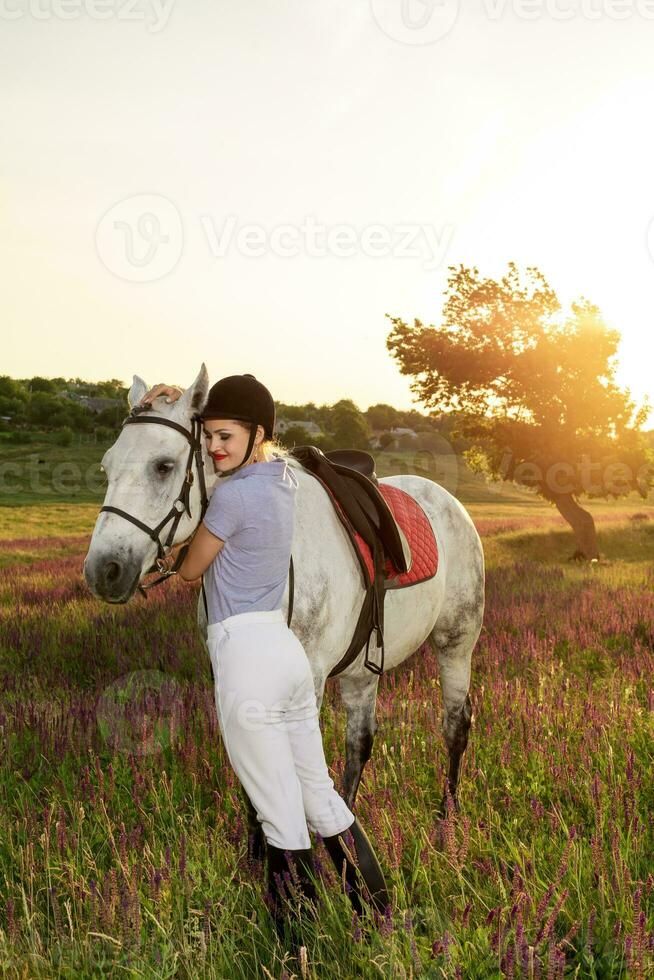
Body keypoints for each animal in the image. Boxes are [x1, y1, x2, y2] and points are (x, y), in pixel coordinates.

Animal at [83, 366, 486, 856]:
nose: (104, 571)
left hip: (456, 643)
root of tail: (448, 500)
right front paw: (261, 852)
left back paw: (447, 819)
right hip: (362, 669)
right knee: (360, 743)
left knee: (455, 725)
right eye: (107, 467)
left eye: (163, 465)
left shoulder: (307, 682)